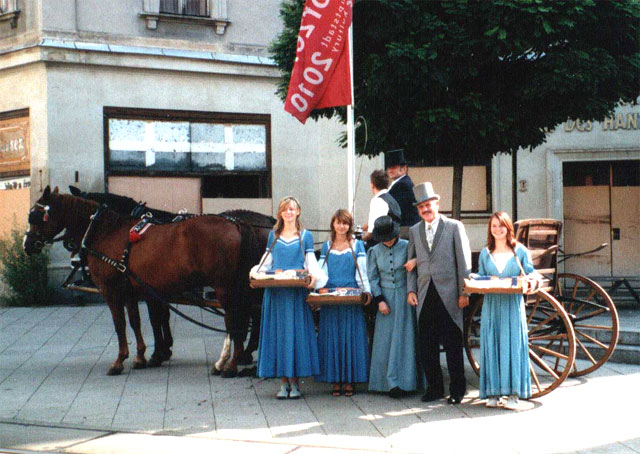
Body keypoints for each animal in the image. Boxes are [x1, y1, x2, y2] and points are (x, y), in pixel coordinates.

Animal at [24, 185, 258, 376]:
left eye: (34, 216)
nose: (27, 245)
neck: (106, 231)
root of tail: (235, 224)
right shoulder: (132, 291)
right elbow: (136, 321)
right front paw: (141, 356)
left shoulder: (113, 291)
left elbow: (122, 323)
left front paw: (121, 360)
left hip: (224, 286)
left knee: (234, 319)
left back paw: (231, 364)